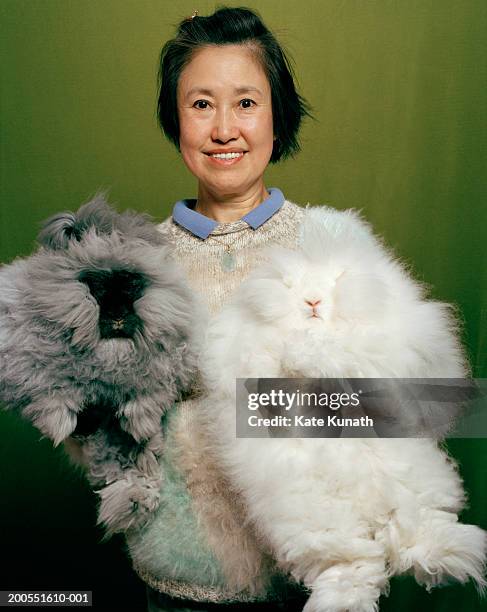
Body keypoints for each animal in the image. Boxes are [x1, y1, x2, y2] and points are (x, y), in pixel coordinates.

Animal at [0, 195, 201, 536]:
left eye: (131, 284)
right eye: (95, 287)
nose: (118, 315)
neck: (111, 355)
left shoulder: (168, 367)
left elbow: (147, 401)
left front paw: (140, 423)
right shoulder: (26, 366)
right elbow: (51, 395)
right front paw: (60, 424)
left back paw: (134, 502)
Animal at [200, 207, 486, 612]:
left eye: (339, 278)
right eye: (288, 285)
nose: (312, 303)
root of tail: (369, 508)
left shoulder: (391, 349)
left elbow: (355, 355)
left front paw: (315, 356)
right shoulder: (241, 349)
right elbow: (264, 358)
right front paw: (296, 355)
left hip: (417, 483)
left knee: (418, 529)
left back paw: (450, 556)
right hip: (311, 517)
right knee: (354, 562)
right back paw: (345, 599)